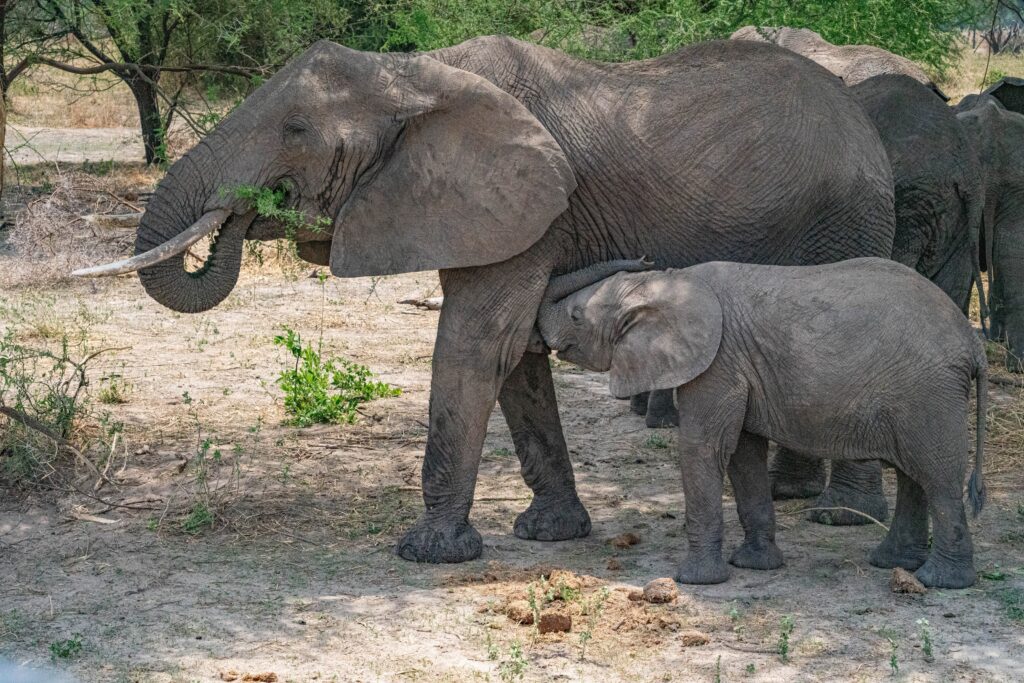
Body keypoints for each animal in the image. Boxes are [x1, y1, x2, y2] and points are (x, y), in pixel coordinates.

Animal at [74, 34, 897, 565]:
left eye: (297, 130)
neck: (415, 75)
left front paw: (430, 553)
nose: (242, 213)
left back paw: (843, 516)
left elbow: (475, 343)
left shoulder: (529, 203)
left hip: (848, 215)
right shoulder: (491, 212)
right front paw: (551, 534)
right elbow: (515, 356)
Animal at [540, 255, 987, 589]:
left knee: (938, 479)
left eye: (576, 316)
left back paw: (939, 582)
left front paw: (695, 581)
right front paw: (754, 566)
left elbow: (703, 449)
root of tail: (972, 342)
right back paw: (894, 564)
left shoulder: (718, 363)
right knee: (914, 476)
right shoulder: (739, 368)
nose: (644, 255)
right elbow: (743, 454)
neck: (665, 284)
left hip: (928, 392)